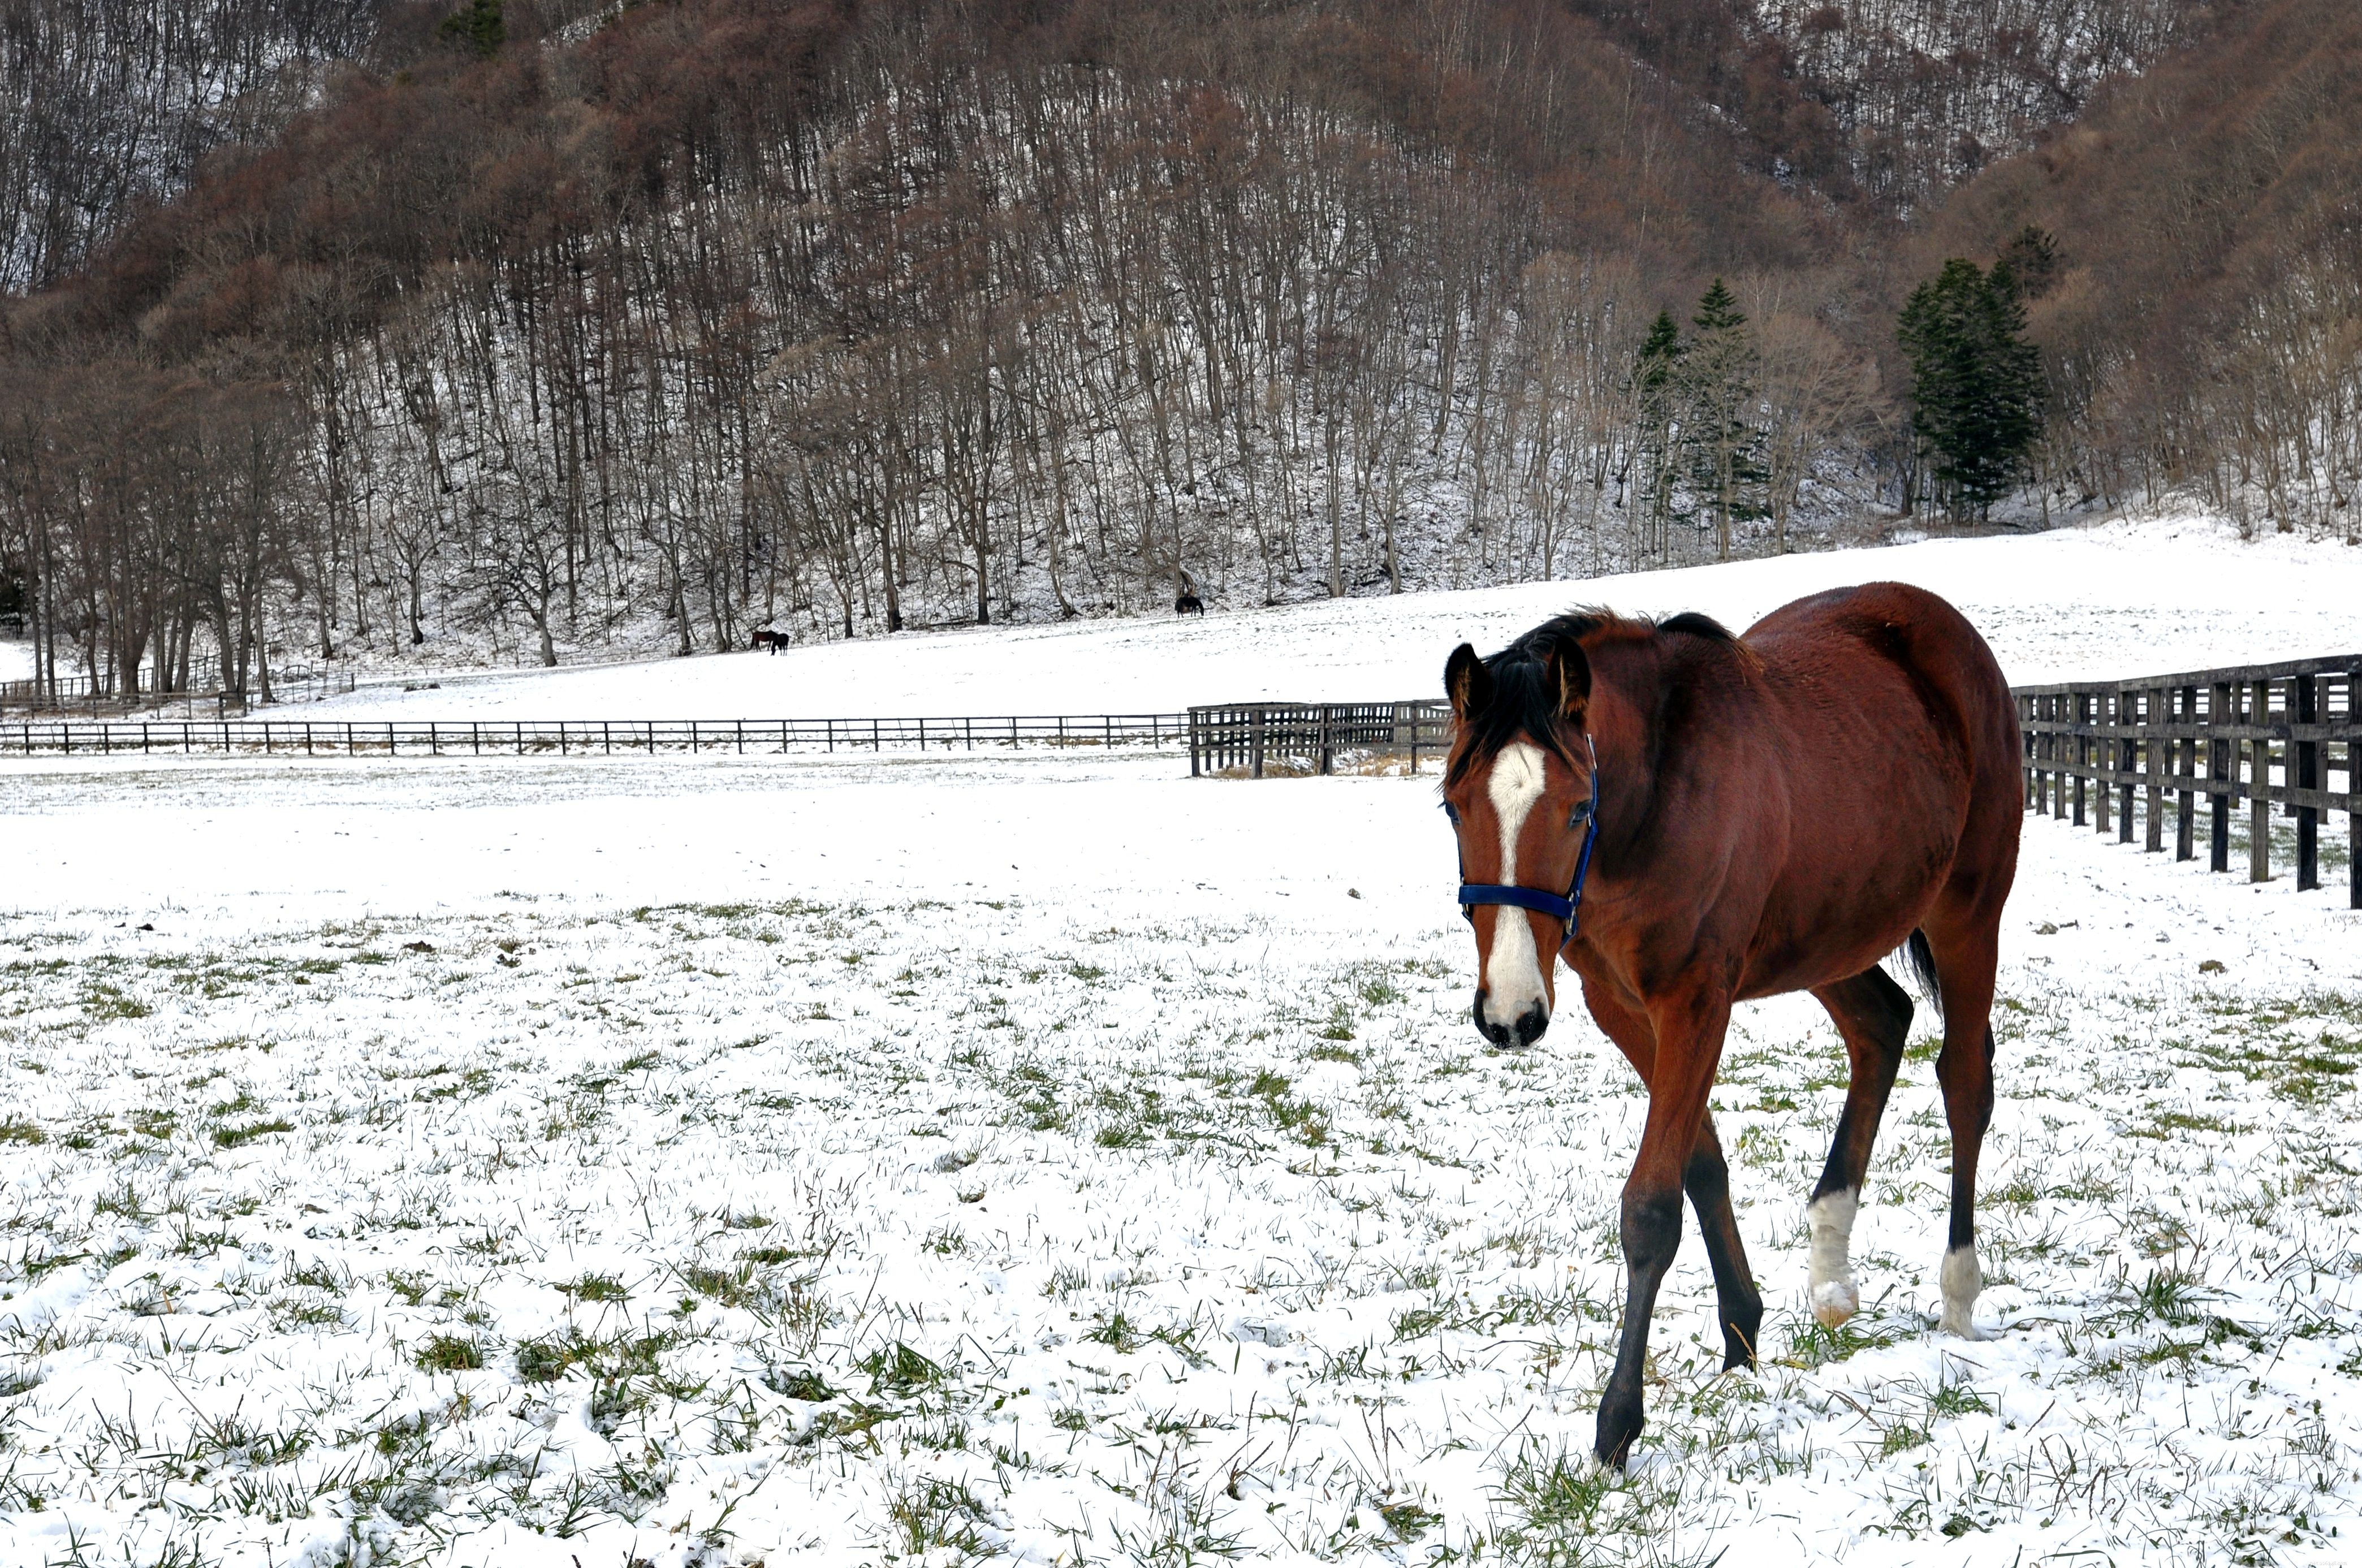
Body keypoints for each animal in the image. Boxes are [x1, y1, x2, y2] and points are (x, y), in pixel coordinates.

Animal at [1438, 583, 2020, 1467]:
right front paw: (1741, 1333)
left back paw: (1956, 1292)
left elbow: (1650, 1207)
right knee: (1881, 1027)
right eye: (1451, 805)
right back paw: (1831, 1266)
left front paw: (1617, 1423)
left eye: (1575, 810)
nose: (1510, 1016)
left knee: (1962, 1082)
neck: (1656, 793)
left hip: (1966, 915)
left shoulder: (1695, 1000)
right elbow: (1700, 1163)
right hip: (1830, 933)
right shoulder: (1620, 1004)